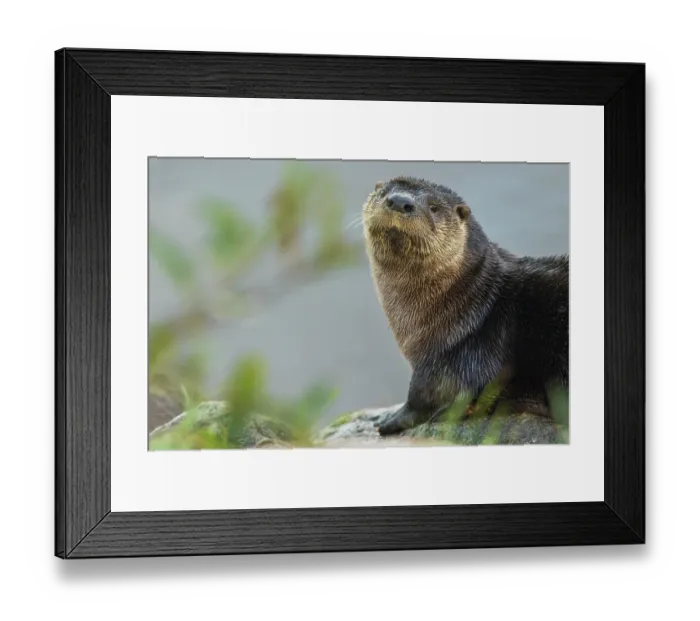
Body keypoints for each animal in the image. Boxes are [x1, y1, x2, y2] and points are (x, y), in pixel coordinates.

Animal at [362, 176, 568, 436]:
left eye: (434, 207)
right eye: (385, 193)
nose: (399, 201)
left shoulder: (452, 358)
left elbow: (425, 396)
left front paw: (392, 420)